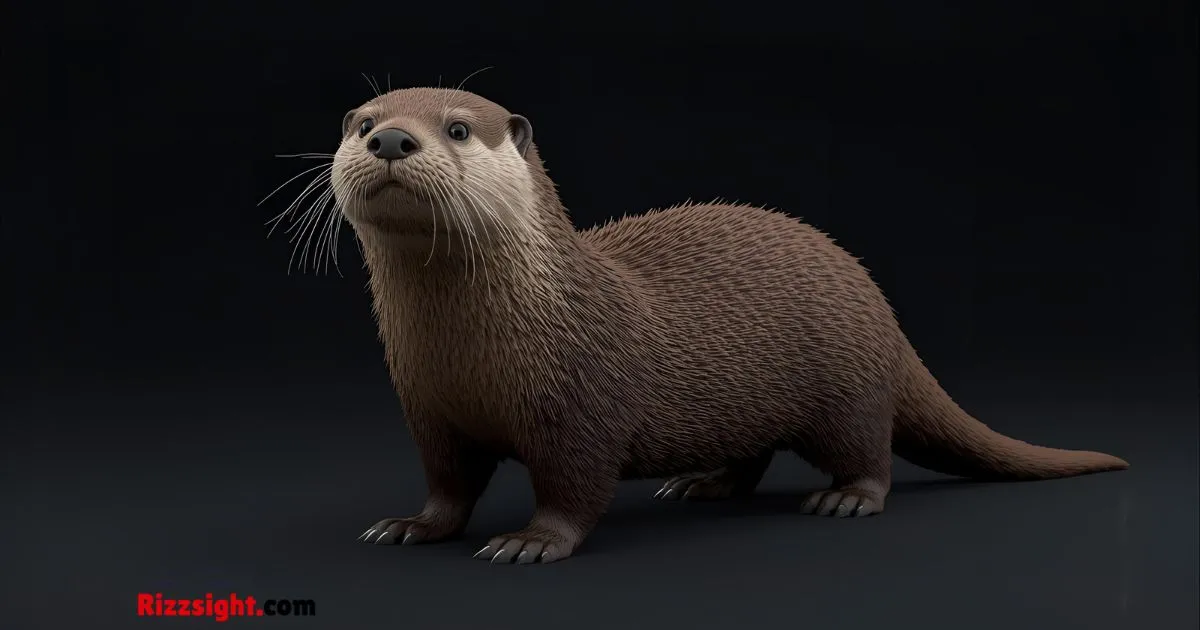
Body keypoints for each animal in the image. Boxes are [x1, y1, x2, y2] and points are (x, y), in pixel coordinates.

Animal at [325, 87, 1128, 564]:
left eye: (458, 128)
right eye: (364, 121)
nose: (391, 140)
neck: (475, 360)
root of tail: (876, 300)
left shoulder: (582, 407)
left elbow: (574, 487)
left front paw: (529, 540)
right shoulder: (428, 412)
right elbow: (447, 483)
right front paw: (411, 525)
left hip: (846, 387)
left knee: (871, 451)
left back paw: (845, 499)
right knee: (752, 454)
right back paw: (705, 483)